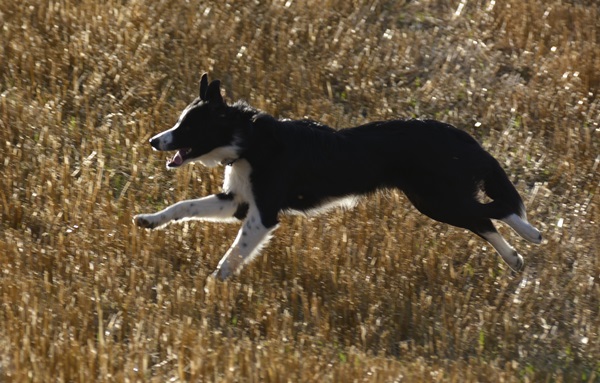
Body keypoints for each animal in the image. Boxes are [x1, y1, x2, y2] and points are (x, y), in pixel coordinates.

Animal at [136, 73, 544, 280]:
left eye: (189, 127)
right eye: (179, 122)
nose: (154, 140)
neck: (247, 140)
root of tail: (462, 135)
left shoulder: (262, 213)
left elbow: (235, 251)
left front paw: (215, 284)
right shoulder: (236, 202)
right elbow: (183, 206)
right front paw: (149, 219)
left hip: (436, 200)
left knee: (490, 212)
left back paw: (526, 242)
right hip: (437, 199)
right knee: (488, 215)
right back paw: (520, 253)